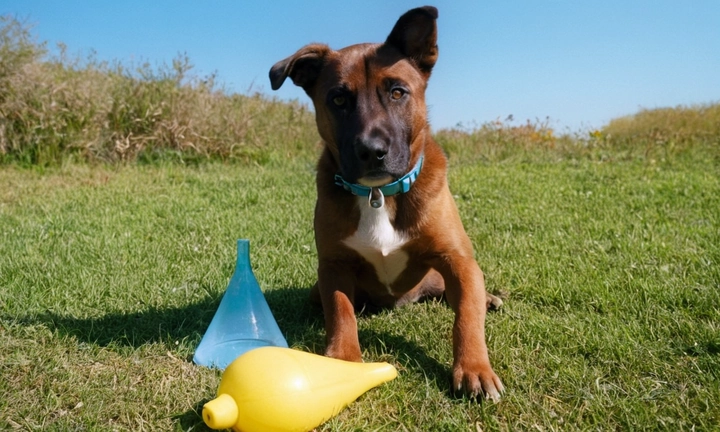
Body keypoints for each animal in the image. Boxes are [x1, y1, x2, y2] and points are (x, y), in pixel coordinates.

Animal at [268, 5, 500, 400]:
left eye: (397, 92)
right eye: (338, 99)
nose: (372, 151)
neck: (377, 195)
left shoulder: (457, 261)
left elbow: (467, 317)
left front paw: (474, 368)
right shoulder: (333, 266)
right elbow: (341, 312)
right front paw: (343, 361)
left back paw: (488, 299)